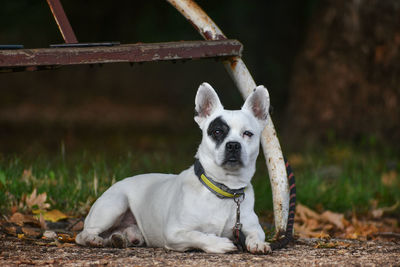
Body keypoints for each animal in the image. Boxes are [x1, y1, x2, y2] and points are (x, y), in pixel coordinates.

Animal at [76, 82, 272, 254]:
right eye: (217, 132)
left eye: (248, 134)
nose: (233, 145)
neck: (224, 188)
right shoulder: (175, 233)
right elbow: (199, 235)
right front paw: (219, 244)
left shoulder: (253, 226)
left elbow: (256, 235)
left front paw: (257, 244)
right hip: (115, 204)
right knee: (83, 234)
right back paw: (95, 239)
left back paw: (121, 238)